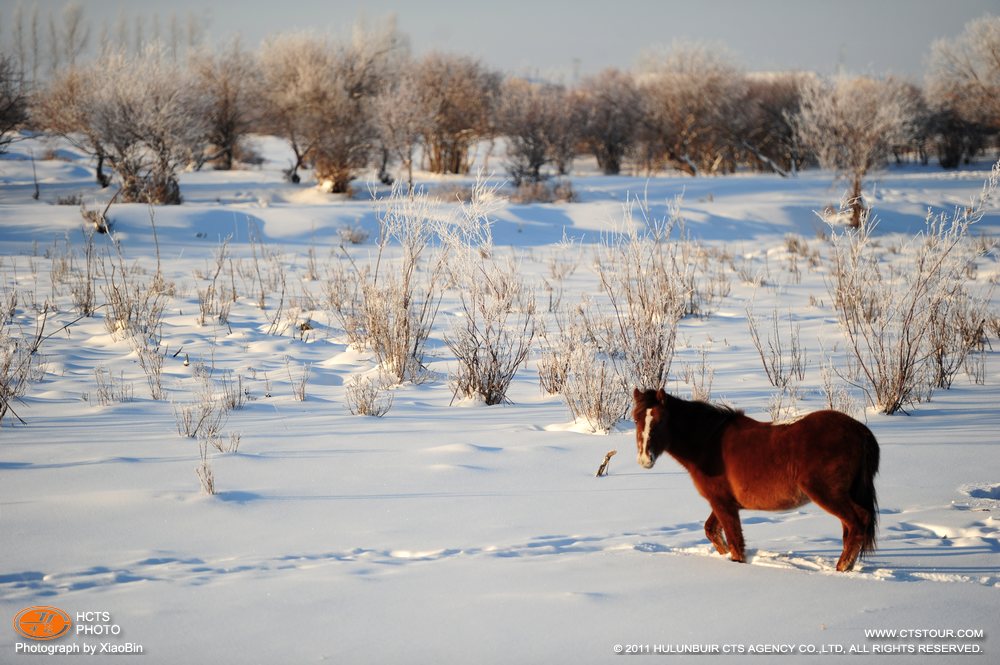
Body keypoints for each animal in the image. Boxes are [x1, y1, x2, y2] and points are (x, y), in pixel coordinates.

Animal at [636, 390, 880, 572]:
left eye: (660, 420)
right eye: (636, 418)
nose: (645, 459)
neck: (709, 443)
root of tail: (860, 431)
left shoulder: (723, 504)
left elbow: (735, 543)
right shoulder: (723, 502)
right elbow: (712, 531)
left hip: (827, 494)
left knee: (858, 521)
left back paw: (842, 568)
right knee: (851, 528)